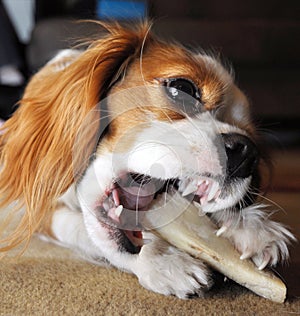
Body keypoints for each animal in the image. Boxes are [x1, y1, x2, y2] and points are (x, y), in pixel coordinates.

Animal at [0, 22, 296, 298]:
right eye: (182, 87)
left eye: (252, 138)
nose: (246, 151)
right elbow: (75, 227)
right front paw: (162, 260)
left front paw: (246, 225)